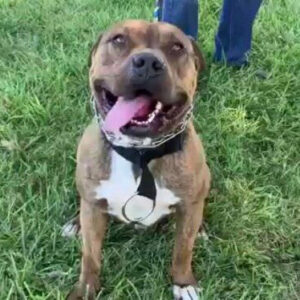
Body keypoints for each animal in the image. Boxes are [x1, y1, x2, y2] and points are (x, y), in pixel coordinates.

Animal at [66, 19, 210, 298]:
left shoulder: (189, 207)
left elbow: (183, 250)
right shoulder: (93, 207)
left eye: (177, 47)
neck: (140, 152)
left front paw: (183, 283)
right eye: (119, 40)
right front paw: (86, 288)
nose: (148, 62)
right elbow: (90, 256)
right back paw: (75, 224)